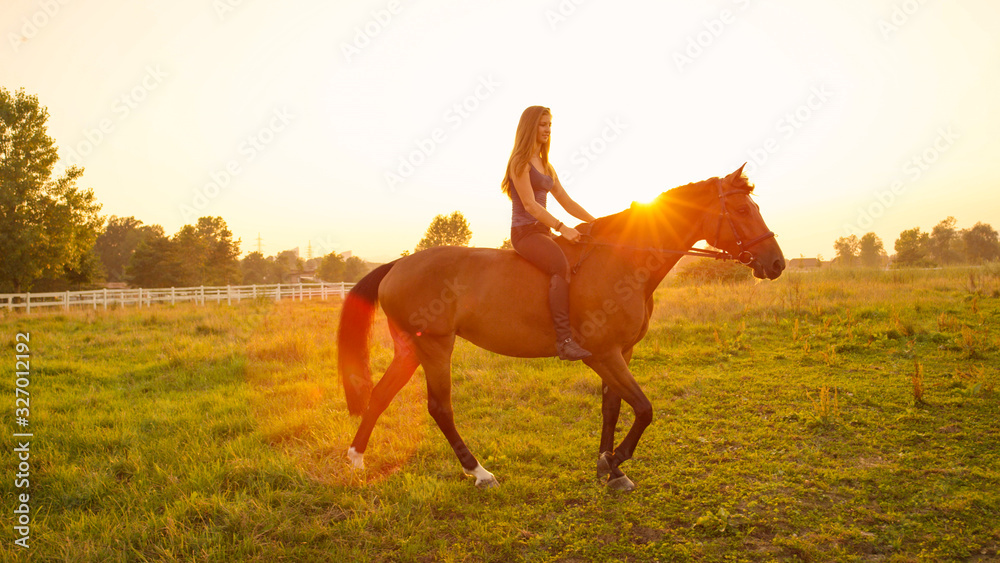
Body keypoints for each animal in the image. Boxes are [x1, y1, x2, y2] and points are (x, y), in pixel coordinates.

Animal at [340, 165, 784, 492]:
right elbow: (643, 408)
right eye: (742, 211)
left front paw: (609, 468)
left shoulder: (620, 353)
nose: (776, 263)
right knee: (440, 408)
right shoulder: (602, 354)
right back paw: (479, 472)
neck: (621, 260)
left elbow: (612, 407)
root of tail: (397, 265)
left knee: (380, 395)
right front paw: (616, 460)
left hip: (410, 349)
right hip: (435, 346)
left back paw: (356, 460)